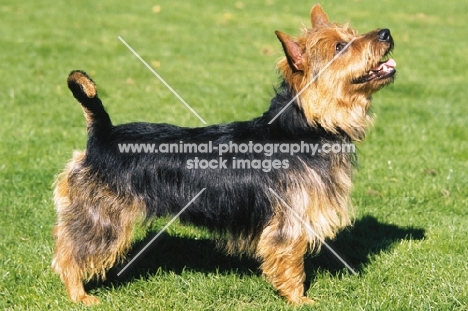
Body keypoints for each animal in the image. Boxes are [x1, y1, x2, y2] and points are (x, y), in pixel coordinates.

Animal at [51, 3, 394, 306]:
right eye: (340, 46)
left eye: (352, 33)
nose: (387, 32)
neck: (307, 125)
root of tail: (103, 134)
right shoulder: (290, 223)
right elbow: (291, 264)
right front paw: (299, 299)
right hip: (102, 218)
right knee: (68, 254)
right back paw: (79, 295)